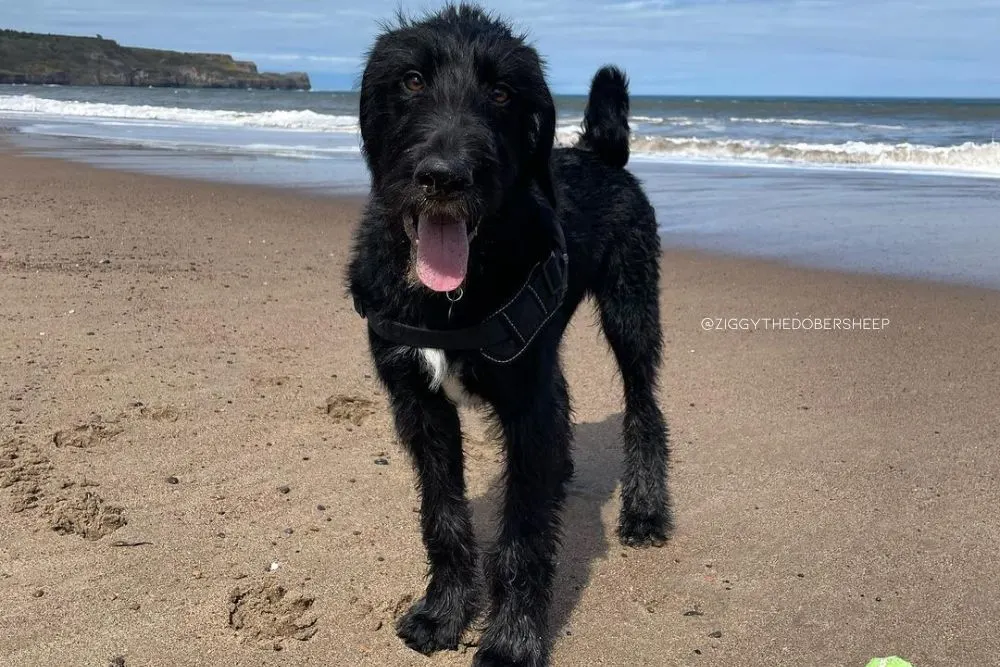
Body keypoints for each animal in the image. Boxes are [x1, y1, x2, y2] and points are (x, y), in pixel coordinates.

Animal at [346, 6, 672, 667]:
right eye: (411, 80)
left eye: (501, 93)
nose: (444, 177)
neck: (450, 299)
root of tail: (600, 151)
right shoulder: (419, 407)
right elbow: (442, 516)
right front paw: (443, 612)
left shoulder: (524, 408)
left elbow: (522, 533)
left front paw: (513, 641)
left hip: (631, 311)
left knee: (644, 407)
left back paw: (646, 510)